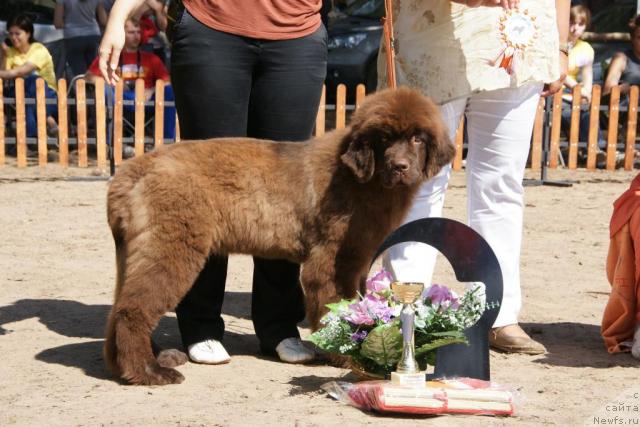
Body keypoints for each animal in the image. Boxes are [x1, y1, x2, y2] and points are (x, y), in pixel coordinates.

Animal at [105, 86, 452, 384]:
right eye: (384, 139)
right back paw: (149, 371)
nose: (400, 166)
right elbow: (335, 307)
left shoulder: (359, 258)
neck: (363, 181)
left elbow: (357, 302)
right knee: (132, 310)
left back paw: (129, 363)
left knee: (118, 307)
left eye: (417, 138)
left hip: (134, 250)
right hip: (171, 246)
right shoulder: (331, 260)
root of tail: (132, 169)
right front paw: (346, 354)